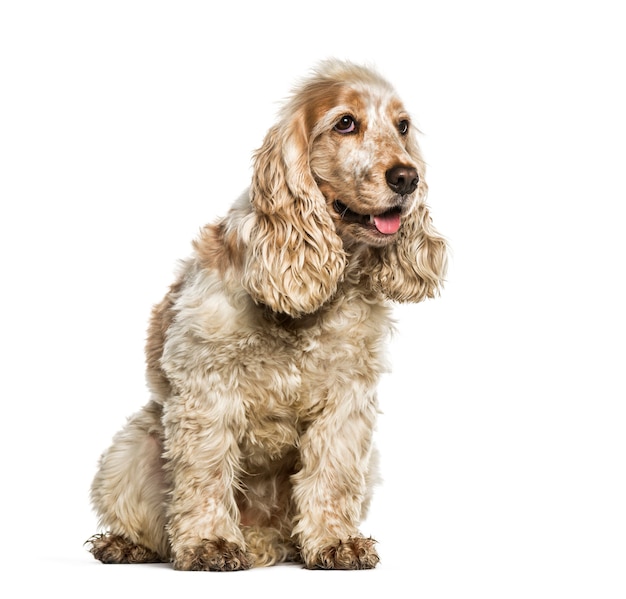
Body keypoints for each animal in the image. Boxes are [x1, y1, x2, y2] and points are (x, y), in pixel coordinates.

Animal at [88, 61, 446, 572]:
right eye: (345, 123)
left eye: (402, 126)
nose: (407, 177)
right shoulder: (206, 389)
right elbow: (205, 473)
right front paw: (210, 543)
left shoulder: (347, 398)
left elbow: (333, 474)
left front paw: (336, 542)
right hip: (133, 444)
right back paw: (126, 543)